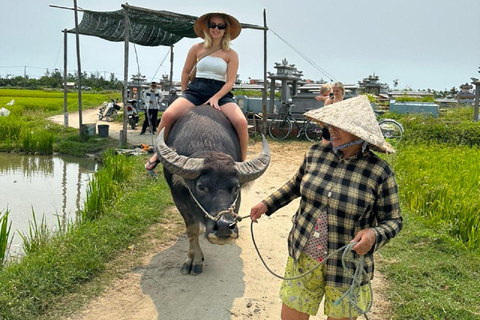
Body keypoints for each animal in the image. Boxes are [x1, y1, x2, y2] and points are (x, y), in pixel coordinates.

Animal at [158, 105, 270, 276]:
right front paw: (194, 260)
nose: (224, 226)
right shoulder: (178, 198)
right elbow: (192, 229)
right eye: (201, 187)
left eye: (236, 187)